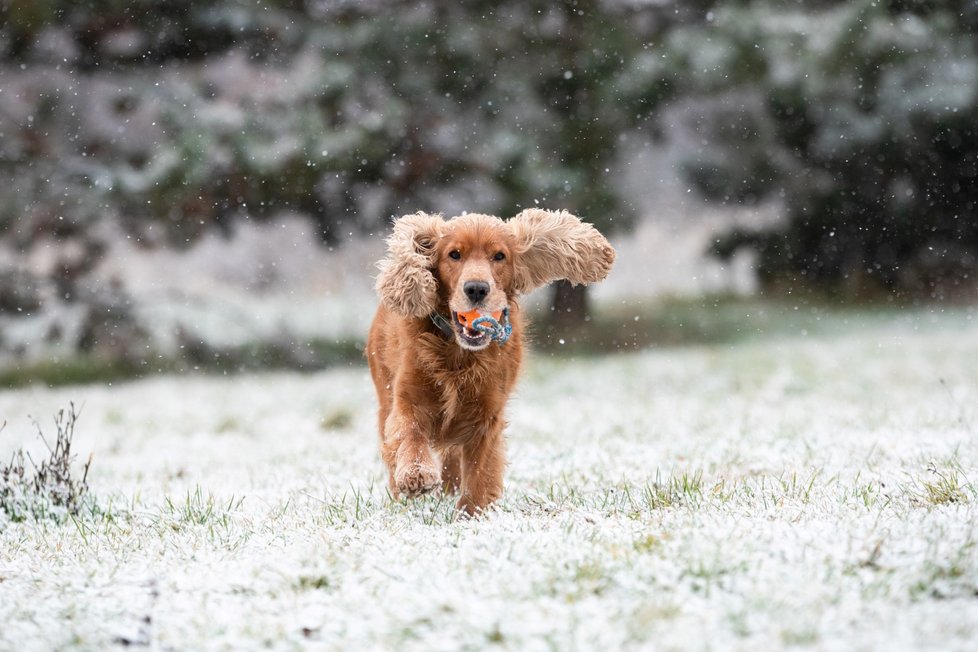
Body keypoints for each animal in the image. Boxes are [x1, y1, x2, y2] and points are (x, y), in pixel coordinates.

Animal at [364, 209, 608, 516]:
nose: (477, 289)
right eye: (454, 254)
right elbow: (408, 433)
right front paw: (415, 474)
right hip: (384, 391)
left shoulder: (487, 412)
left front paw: (472, 512)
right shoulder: (409, 398)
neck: (459, 353)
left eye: (499, 256)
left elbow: (482, 469)